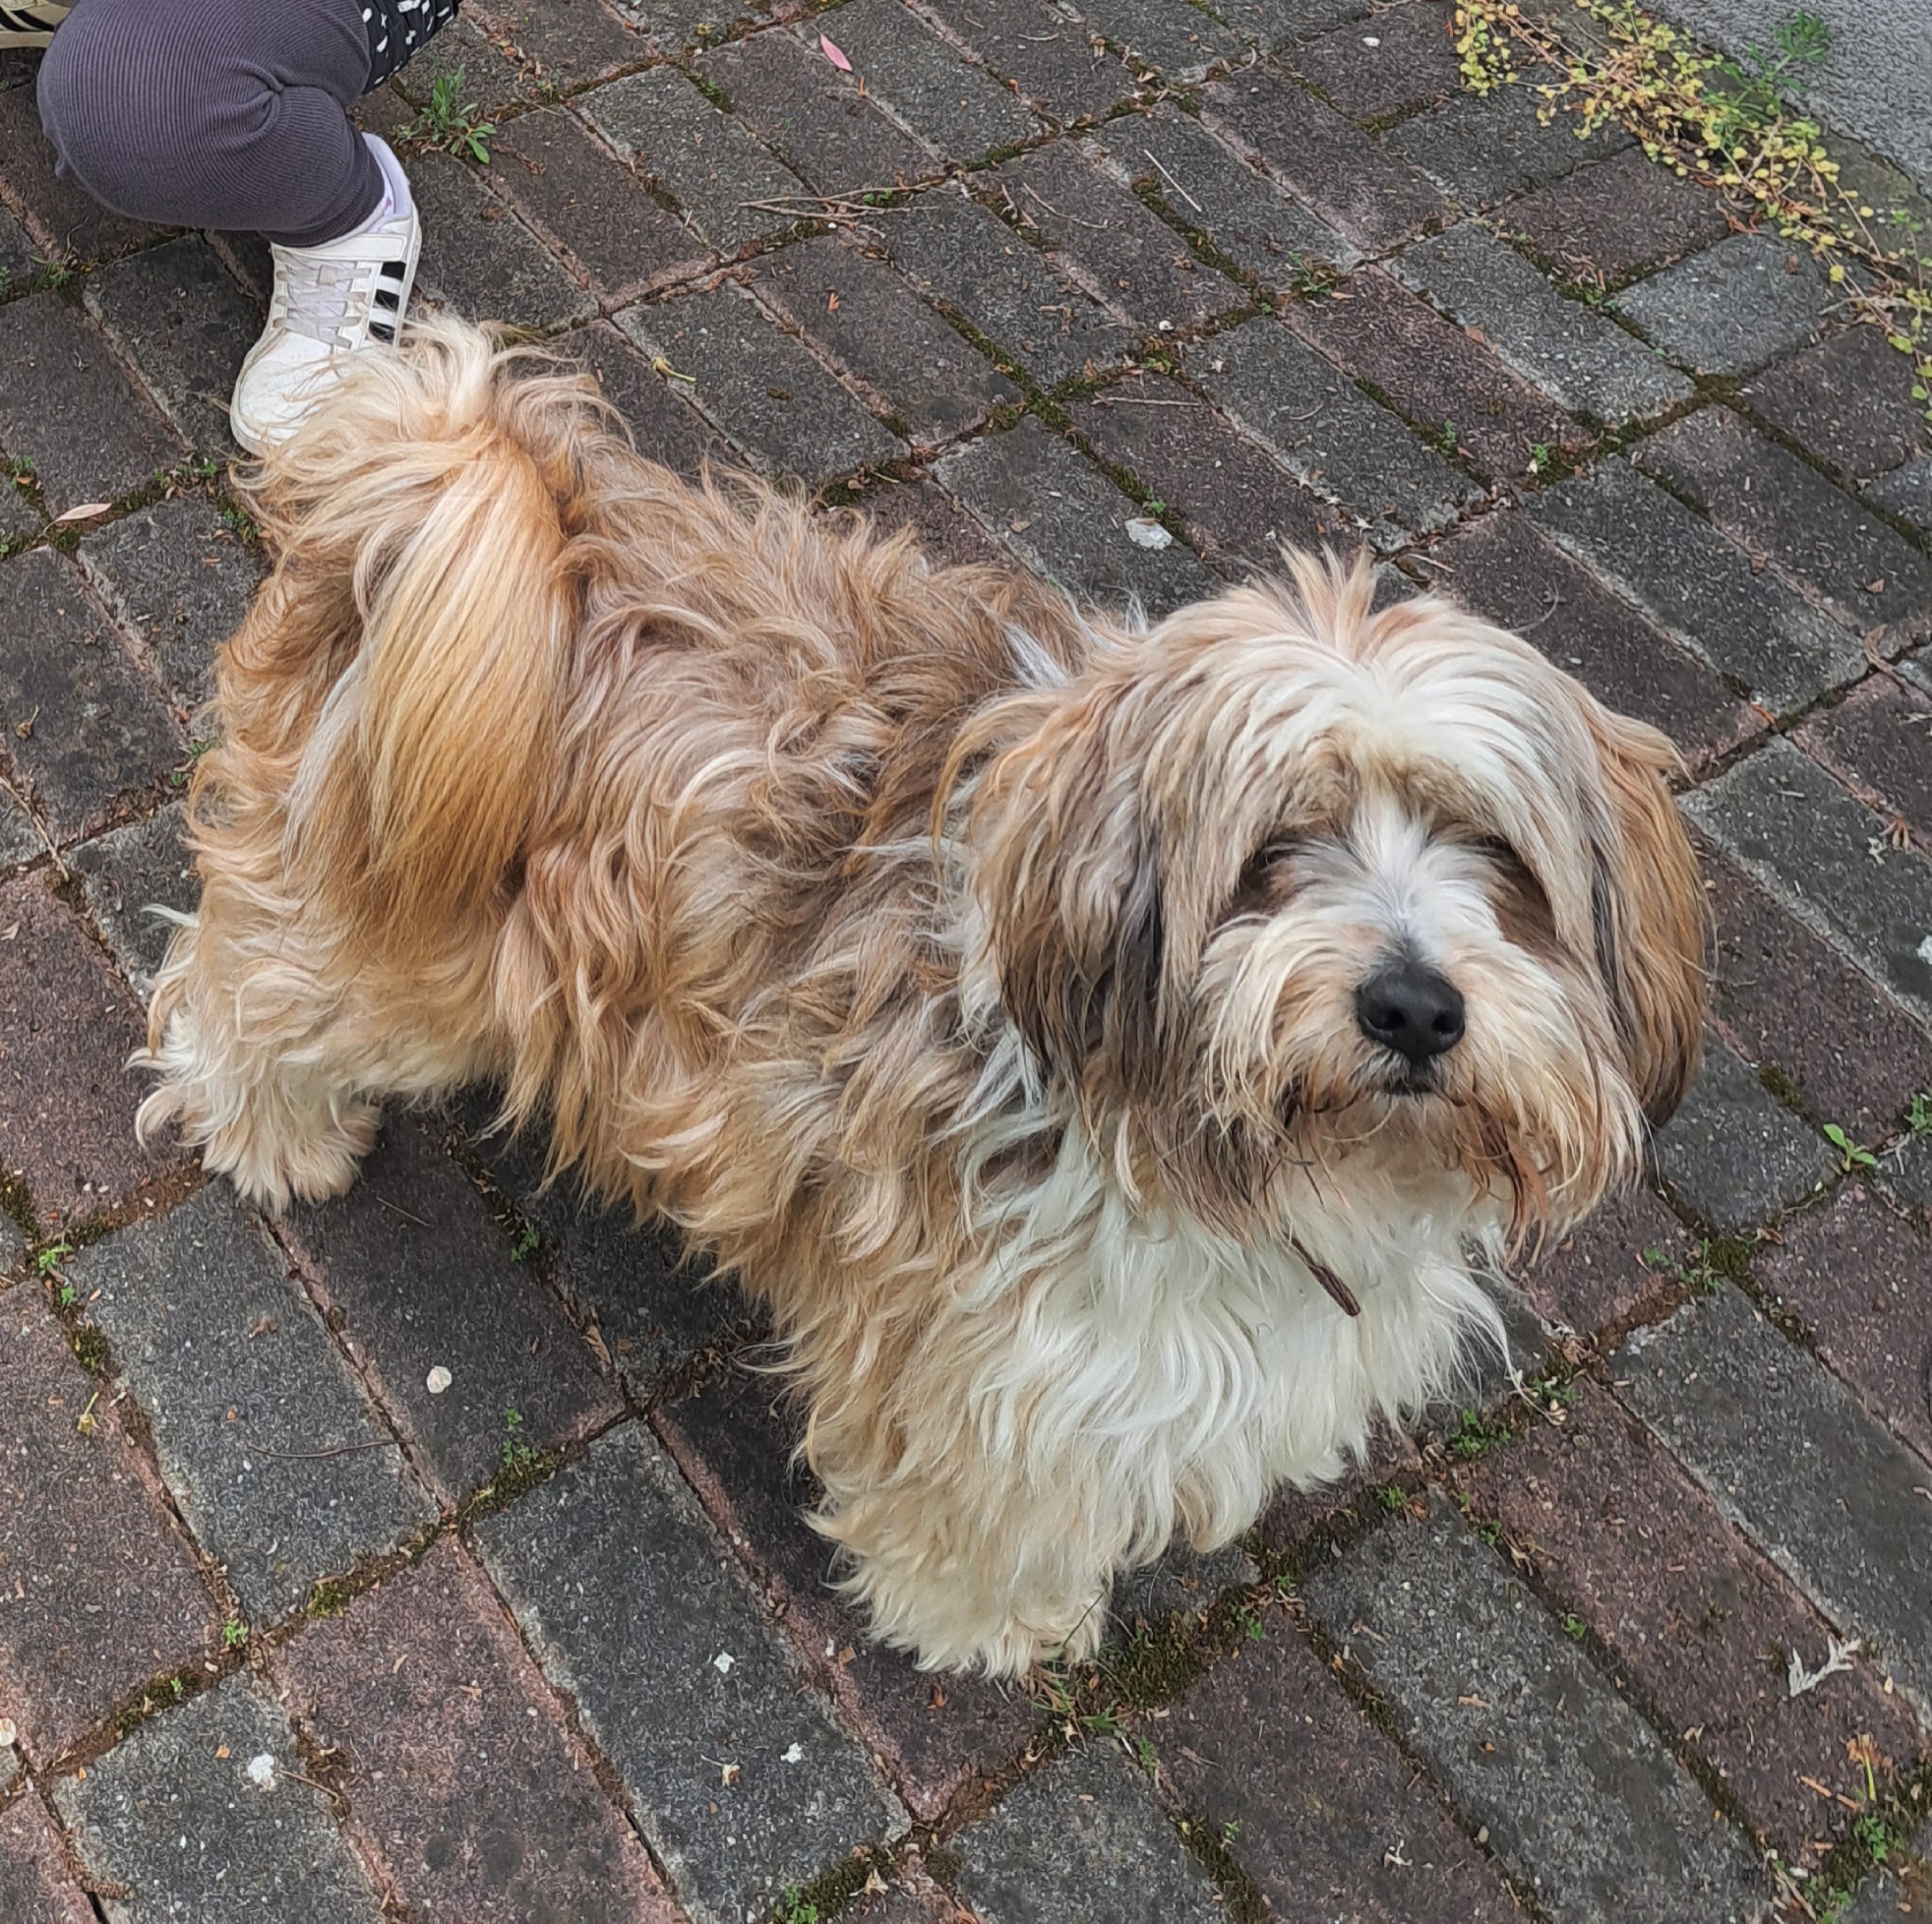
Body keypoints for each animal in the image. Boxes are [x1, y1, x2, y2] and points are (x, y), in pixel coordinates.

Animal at [138, 318, 1706, 1676]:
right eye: (1272, 854)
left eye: (1496, 857)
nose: (1414, 1009)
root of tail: (478, 477)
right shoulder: (987, 1367)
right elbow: (971, 1512)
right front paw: (991, 1622)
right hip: (392, 940)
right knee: (235, 974)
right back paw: (273, 1127)